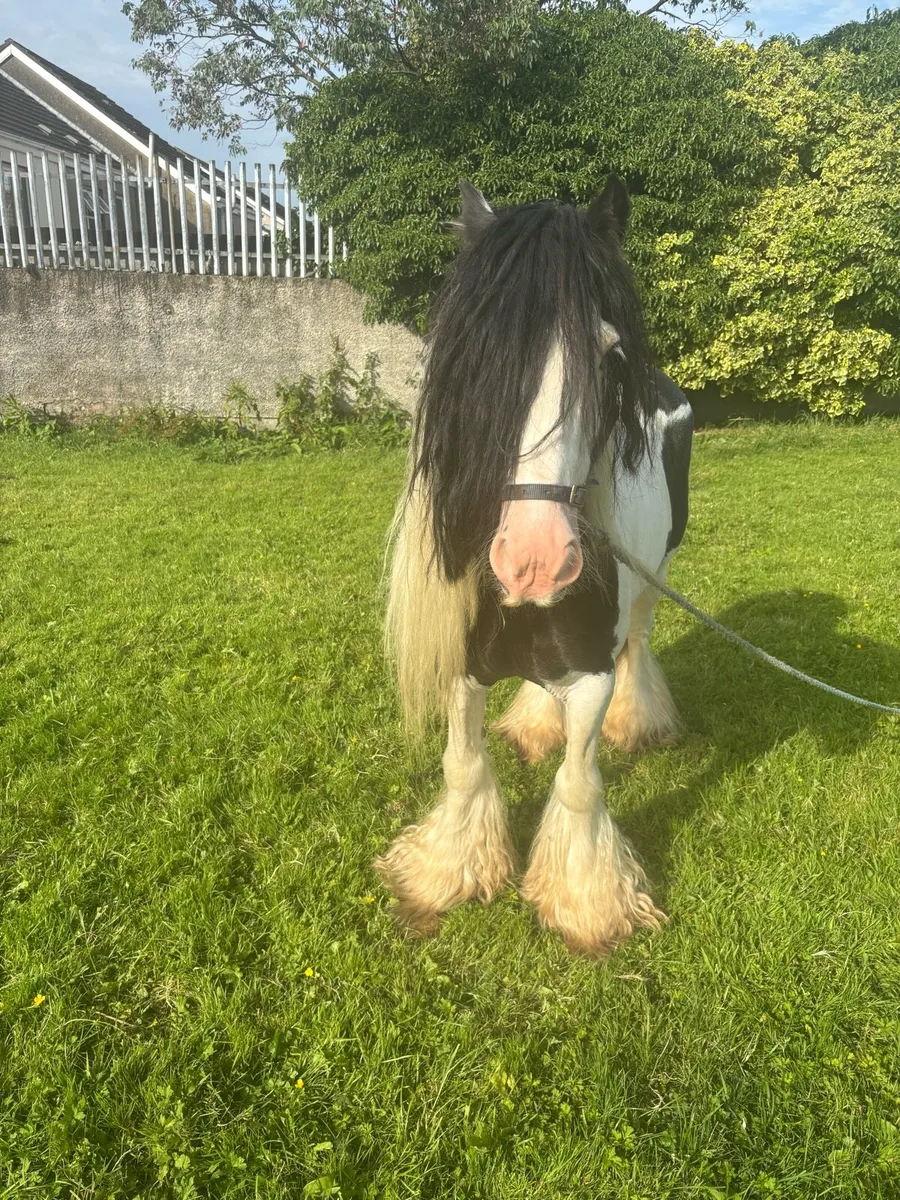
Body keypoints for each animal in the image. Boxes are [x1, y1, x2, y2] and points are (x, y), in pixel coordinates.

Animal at [374, 176, 693, 957]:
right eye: (479, 358)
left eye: (608, 357)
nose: (535, 560)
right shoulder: (461, 666)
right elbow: (462, 765)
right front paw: (443, 874)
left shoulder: (592, 677)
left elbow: (580, 785)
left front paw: (587, 906)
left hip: (655, 581)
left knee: (641, 638)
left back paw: (641, 723)